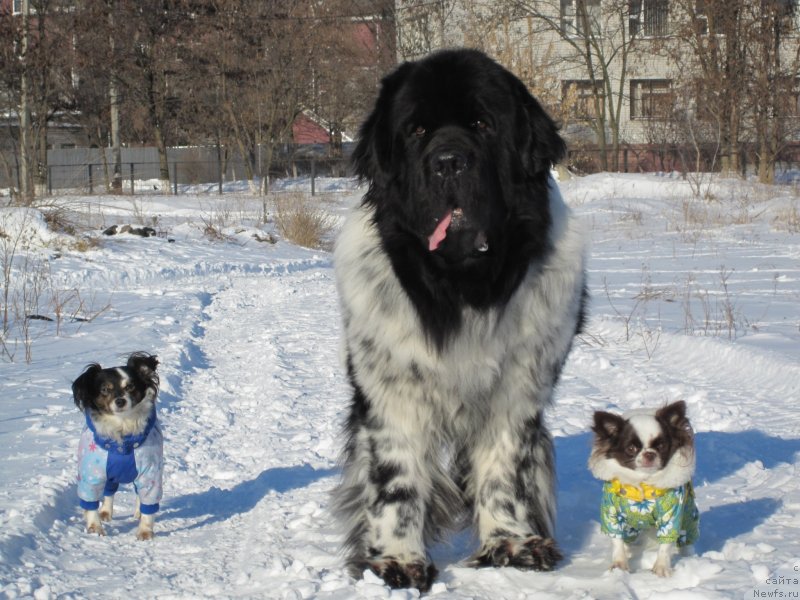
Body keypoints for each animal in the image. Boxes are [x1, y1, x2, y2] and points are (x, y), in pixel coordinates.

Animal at [72, 352, 164, 540]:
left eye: (130, 387)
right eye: (104, 390)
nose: (120, 401)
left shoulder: (150, 473)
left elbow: (148, 502)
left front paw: (145, 531)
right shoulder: (91, 476)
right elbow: (90, 503)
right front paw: (95, 528)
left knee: (138, 494)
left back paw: (137, 512)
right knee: (109, 491)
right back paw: (105, 512)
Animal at [332, 48, 588, 592]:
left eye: (482, 124)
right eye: (416, 130)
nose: (449, 162)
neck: (461, 287)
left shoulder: (516, 389)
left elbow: (505, 472)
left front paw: (512, 543)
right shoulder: (392, 391)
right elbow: (397, 480)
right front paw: (396, 560)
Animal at [588, 400, 700, 580]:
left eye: (661, 445)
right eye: (631, 449)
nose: (649, 454)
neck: (642, 484)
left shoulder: (672, 516)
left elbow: (666, 544)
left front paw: (661, 568)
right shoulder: (611, 514)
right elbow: (617, 541)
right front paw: (619, 566)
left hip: (689, 514)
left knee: (687, 539)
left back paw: (689, 558)